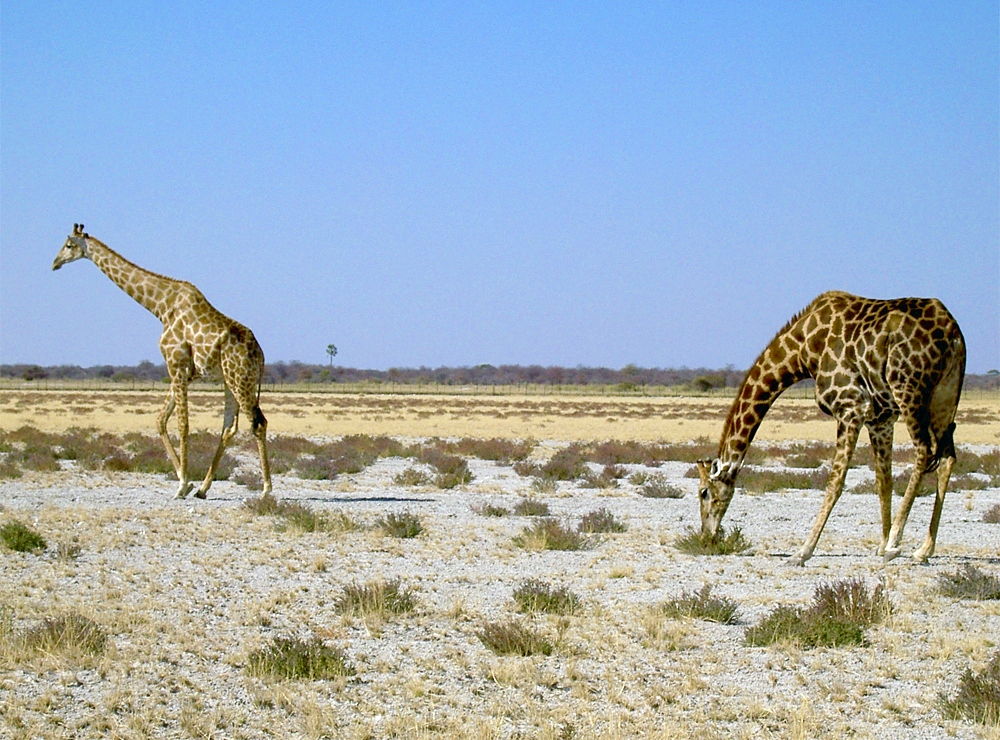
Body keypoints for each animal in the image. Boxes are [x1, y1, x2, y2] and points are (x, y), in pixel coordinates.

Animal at [52, 220, 272, 498]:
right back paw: (203, 488)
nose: (55, 263)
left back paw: (266, 490)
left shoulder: (175, 365)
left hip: (240, 379)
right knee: (229, 428)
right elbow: (160, 421)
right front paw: (186, 482)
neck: (161, 307)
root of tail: (261, 355)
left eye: (69, 245)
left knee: (258, 423)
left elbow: (183, 425)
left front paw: (181, 485)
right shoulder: (183, 373)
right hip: (229, 381)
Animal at [696, 290, 960, 568]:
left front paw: (802, 552)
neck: (803, 350)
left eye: (704, 493)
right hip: (944, 397)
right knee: (947, 457)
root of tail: (952, 330)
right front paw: (880, 544)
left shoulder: (851, 407)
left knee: (924, 451)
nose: (706, 537)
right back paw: (923, 550)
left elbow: (835, 483)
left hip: (908, 390)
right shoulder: (881, 418)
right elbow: (883, 481)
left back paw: (896, 545)